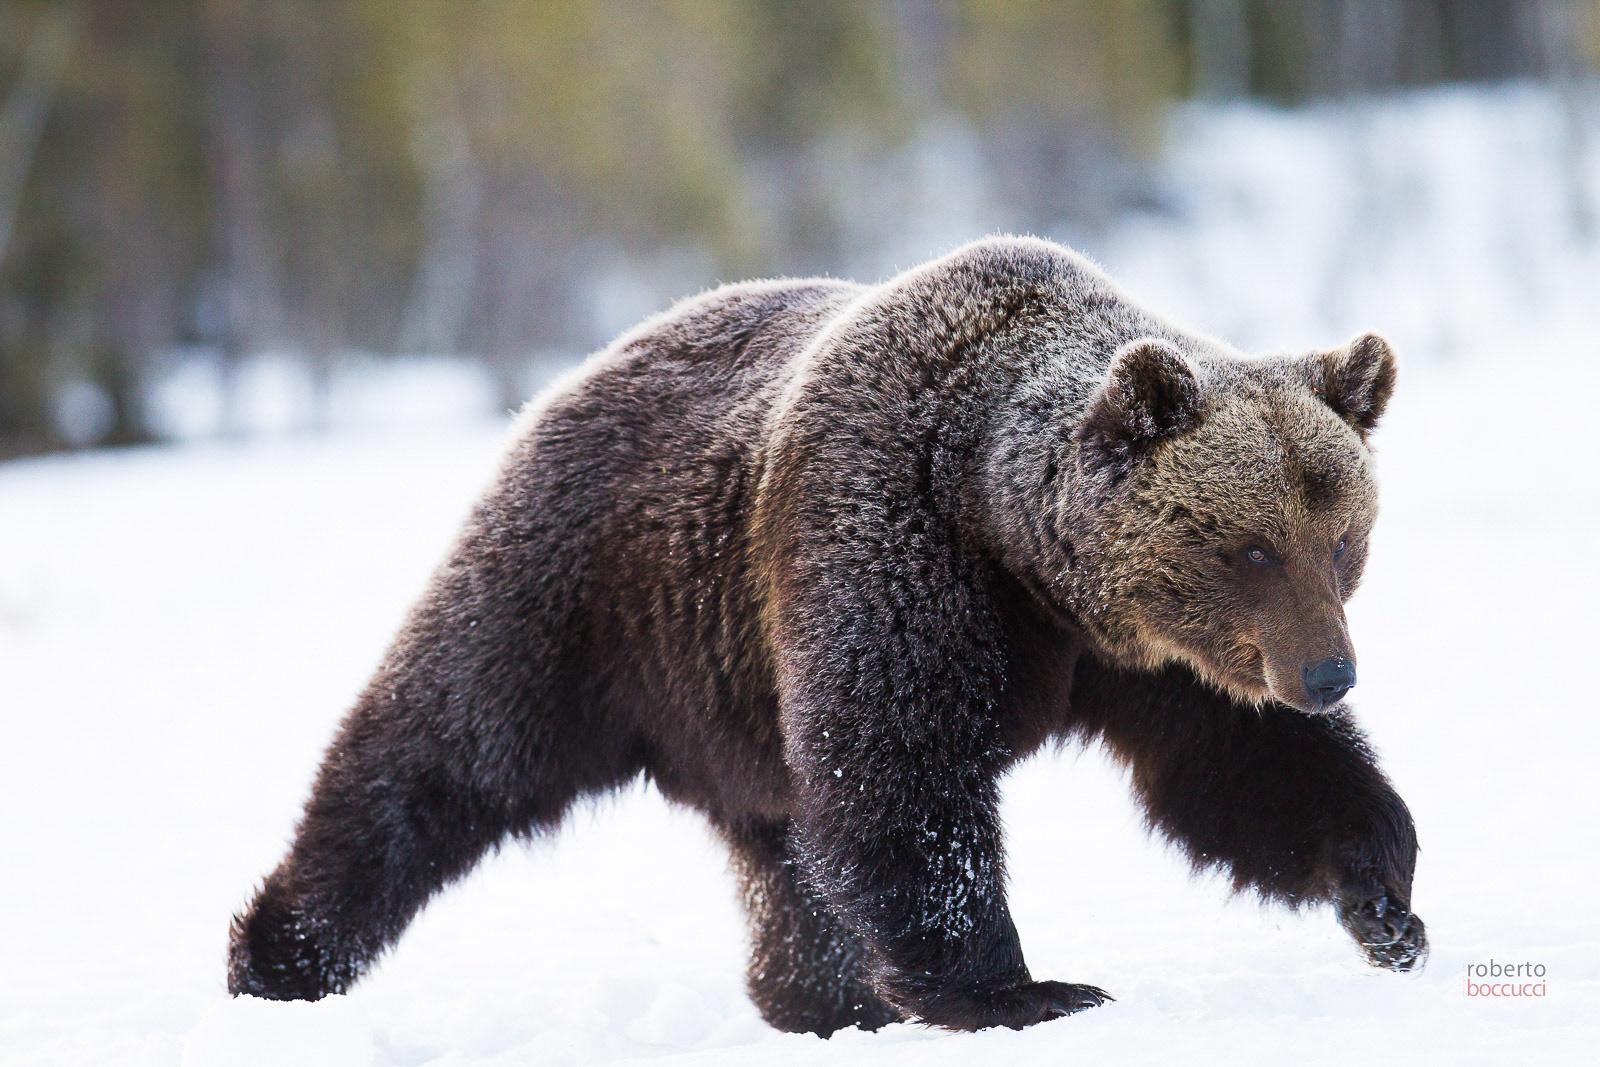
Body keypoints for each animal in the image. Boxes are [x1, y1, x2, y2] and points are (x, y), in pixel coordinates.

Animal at [228, 236, 1425, 1035]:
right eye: (1250, 548)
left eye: (1343, 540)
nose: (1329, 672)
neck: (1017, 544)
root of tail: (574, 371)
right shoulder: (887, 542)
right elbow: (900, 771)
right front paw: (1025, 987)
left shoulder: (1148, 659)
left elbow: (1244, 764)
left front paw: (1385, 897)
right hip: (580, 594)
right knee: (442, 750)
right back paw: (282, 953)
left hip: (728, 695)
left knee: (781, 843)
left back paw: (818, 997)